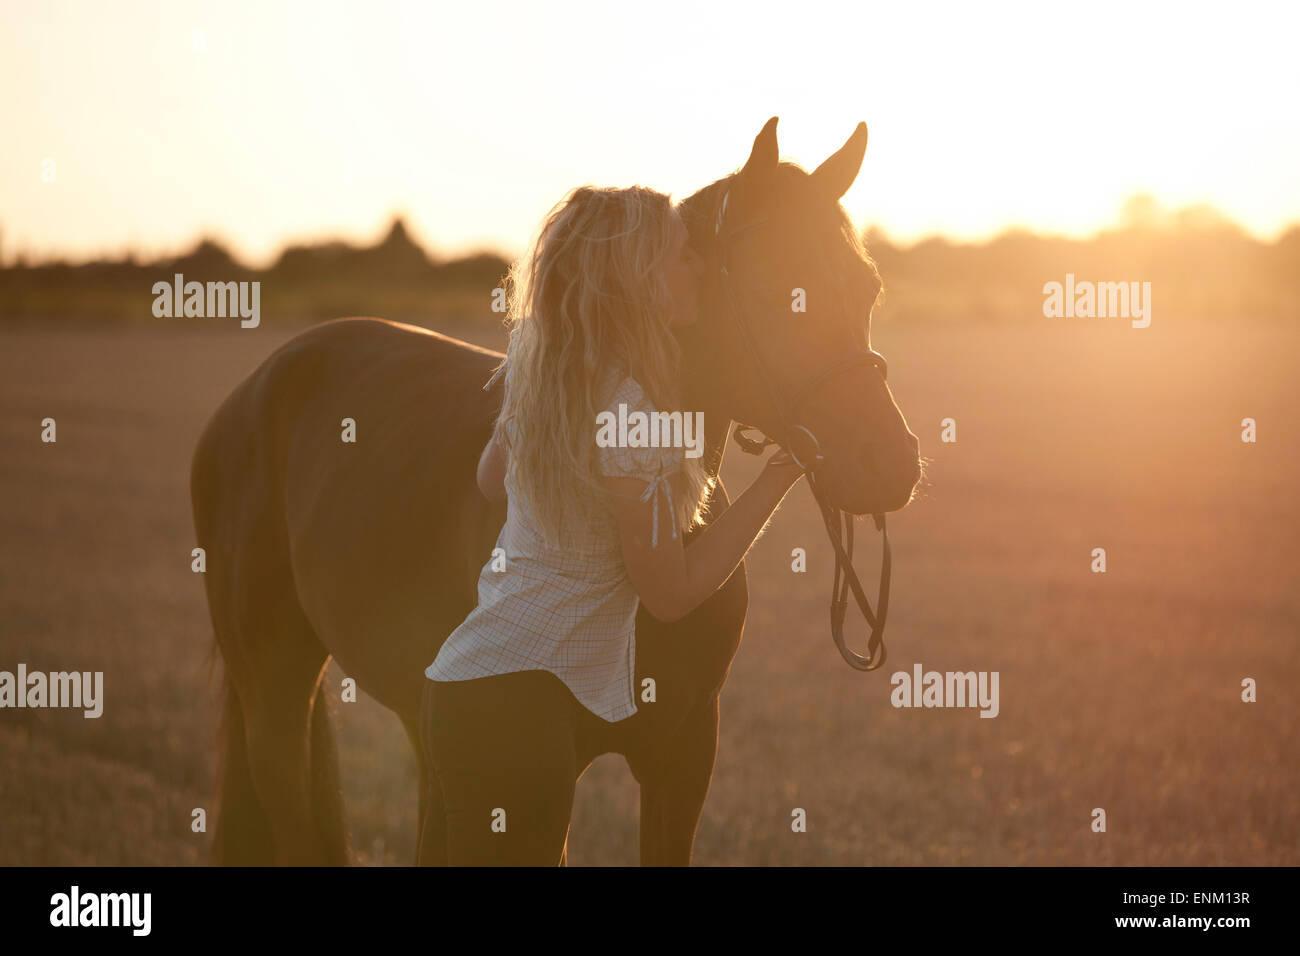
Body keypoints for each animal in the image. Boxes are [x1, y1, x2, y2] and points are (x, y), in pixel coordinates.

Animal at [189, 117, 925, 868]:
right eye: (780, 289)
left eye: (867, 288)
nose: (889, 462)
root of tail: (261, 383)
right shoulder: (540, 776)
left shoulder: (685, 754)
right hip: (276, 695)